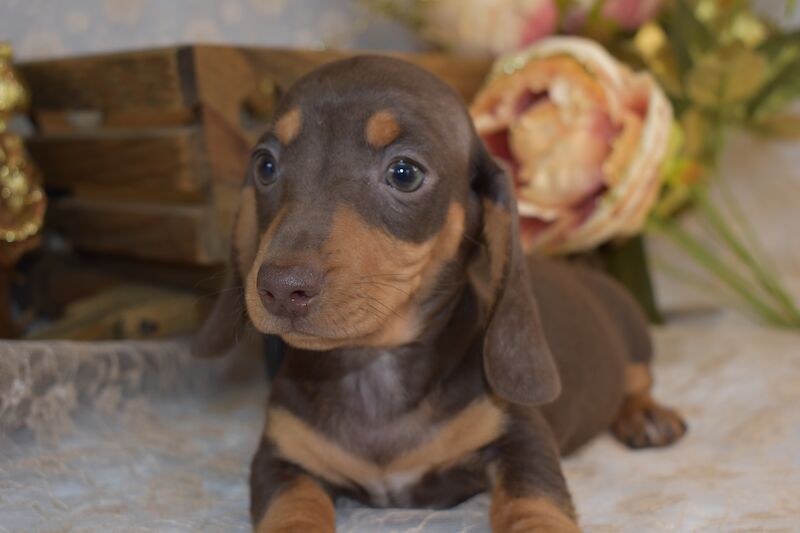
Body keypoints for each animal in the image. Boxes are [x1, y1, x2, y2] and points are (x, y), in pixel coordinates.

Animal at [195, 55, 688, 532]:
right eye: (265, 165)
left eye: (404, 173)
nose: (280, 287)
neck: (374, 367)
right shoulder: (282, 458)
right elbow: (292, 509)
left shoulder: (522, 437)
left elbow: (533, 502)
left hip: (632, 336)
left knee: (638, 377)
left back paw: (646, 415)